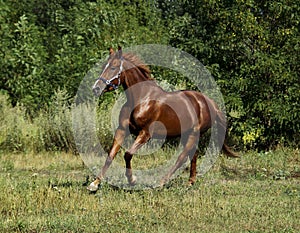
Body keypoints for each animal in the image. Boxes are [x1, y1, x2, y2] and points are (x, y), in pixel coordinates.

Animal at [86, 47, 237, 191]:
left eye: (113, 67)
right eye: (103, 66)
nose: (96, 88)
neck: (141, 98)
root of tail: (210, 103)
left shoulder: (145, 134)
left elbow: (128, 154)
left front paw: (132, 180)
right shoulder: (122, 130)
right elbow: (110, 156)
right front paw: (94, 184)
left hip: (193, 134)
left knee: (181, 158)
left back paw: (161, 182)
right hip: (187, 134)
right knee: (193, 154)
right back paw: (190, 182)